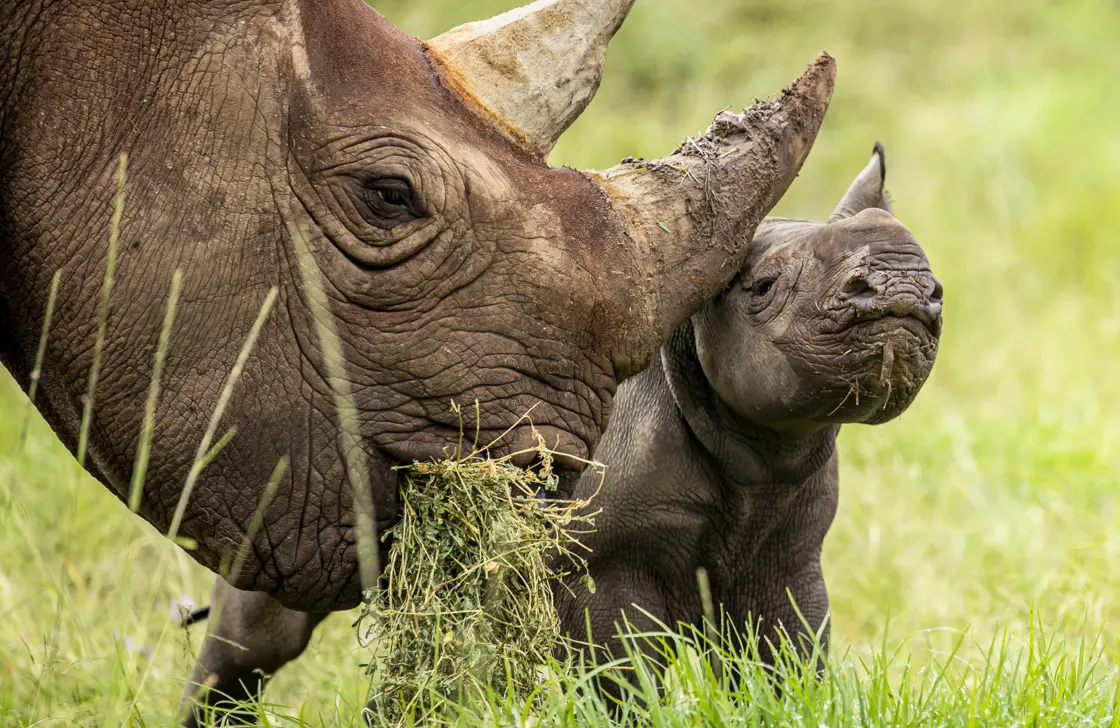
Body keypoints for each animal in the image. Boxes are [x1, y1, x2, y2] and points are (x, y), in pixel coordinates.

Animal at [554, 144, 943, 696]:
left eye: (936, 290)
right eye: (763, 287)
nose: (903, 282)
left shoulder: (787, 553)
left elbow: (786, 657)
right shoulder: (602, 561)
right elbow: (620, 677)